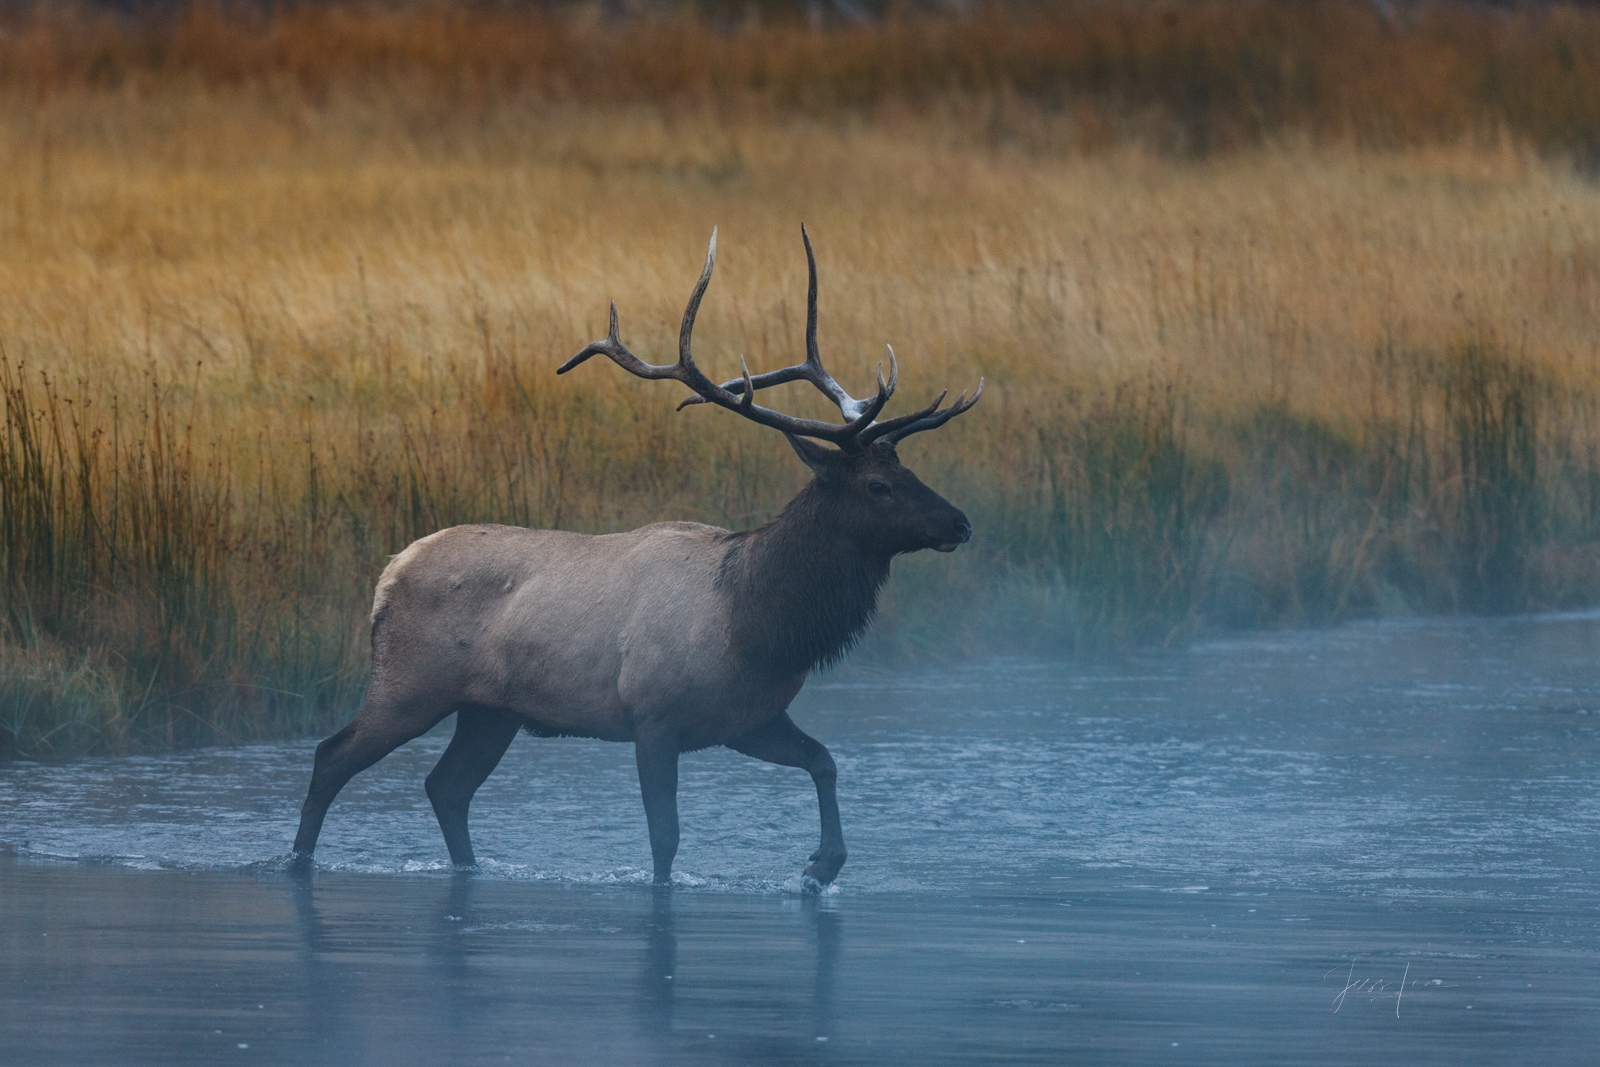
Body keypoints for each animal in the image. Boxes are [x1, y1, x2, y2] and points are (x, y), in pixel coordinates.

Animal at [294, 230, 979, 889]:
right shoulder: (653, 715)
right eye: (877, 486)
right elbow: (664, 839)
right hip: (409, 683)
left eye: (907, 469)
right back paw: (297, 862)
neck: (759, 625)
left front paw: (821, 865)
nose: (960, 522)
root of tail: (390, 571)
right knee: (332, 756)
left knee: (446, 787)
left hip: (489, 711)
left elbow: (825, 761)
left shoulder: (748, 719)